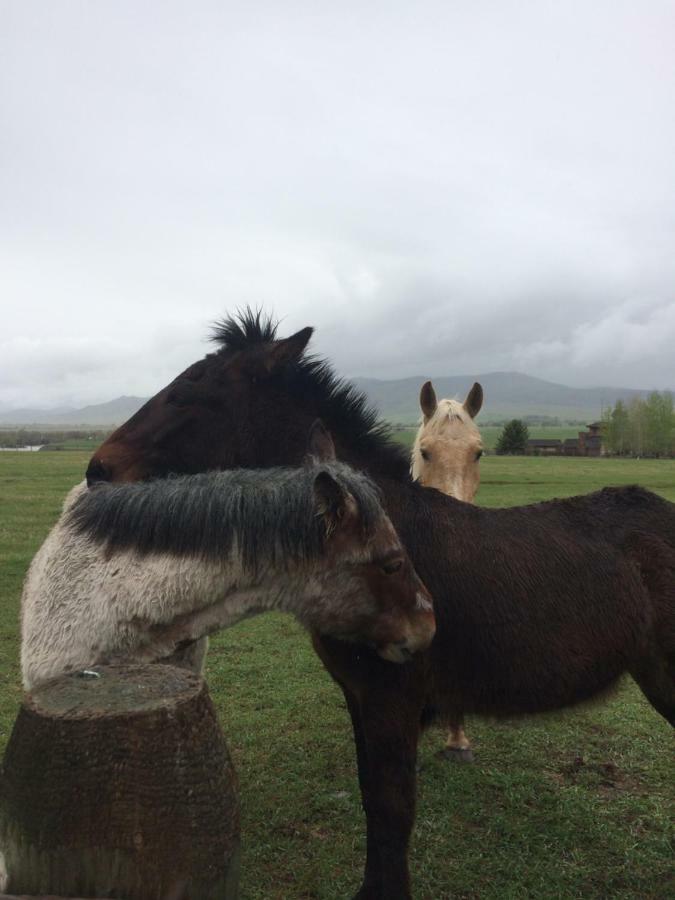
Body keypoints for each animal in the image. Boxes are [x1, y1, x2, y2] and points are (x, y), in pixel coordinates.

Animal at [88, 312, 675, 900]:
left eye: (191, 391)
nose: (98, 470)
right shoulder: (359, 693)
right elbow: (374, 796)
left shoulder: (394, 695)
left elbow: (393, 807)